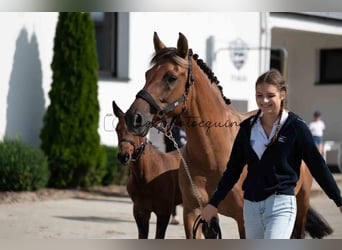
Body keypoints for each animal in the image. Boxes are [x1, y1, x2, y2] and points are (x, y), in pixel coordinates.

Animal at [124, 32, 332, 239]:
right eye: (147, 74)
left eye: (171, 77)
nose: (133, 118)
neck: (212, 154)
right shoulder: (194, 214)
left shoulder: (244, 219)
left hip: (301, 203)